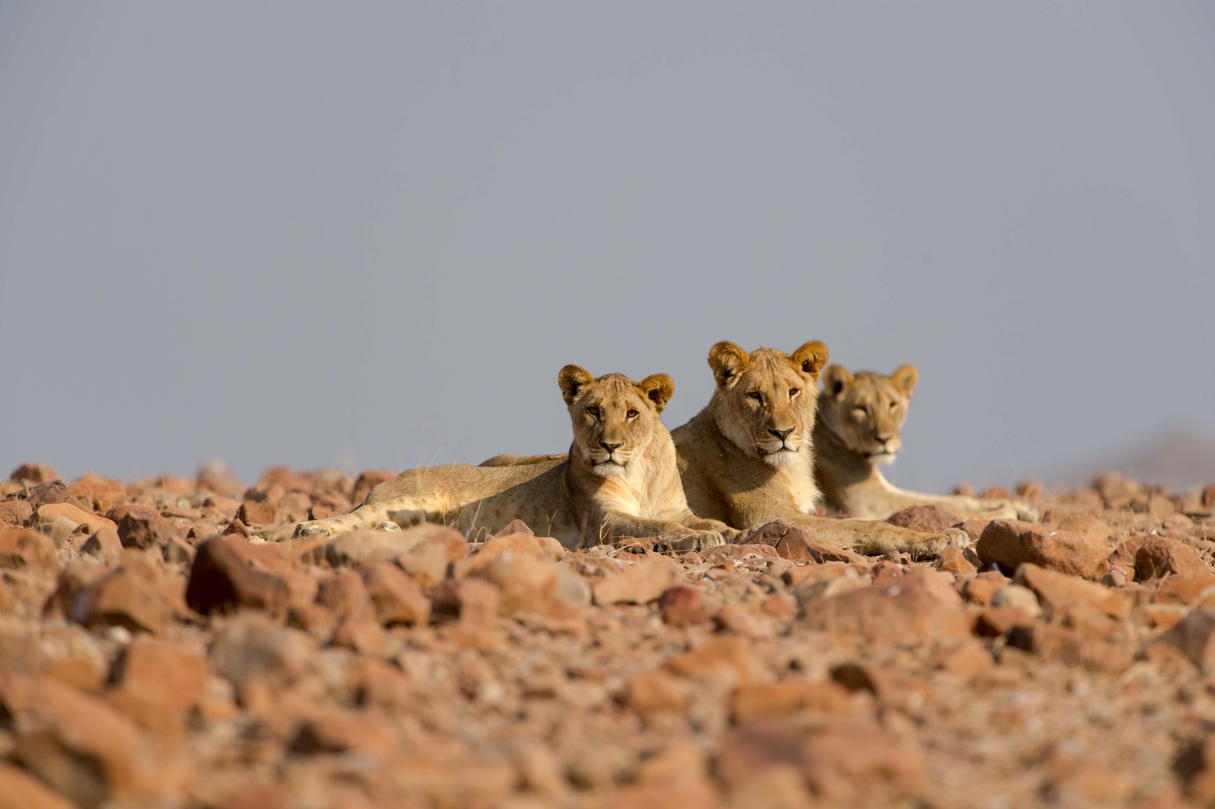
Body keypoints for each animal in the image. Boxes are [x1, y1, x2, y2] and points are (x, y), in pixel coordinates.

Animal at [259, 365, 736, 550]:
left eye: (632, 414)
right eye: (593, 411)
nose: (610, 446)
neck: (637, 473)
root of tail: (385, 483)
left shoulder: (676, 507)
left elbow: (702, 519)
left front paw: (726, 531)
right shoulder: (602, 522)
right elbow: (656, 525)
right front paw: (701, 539)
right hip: (411, 498)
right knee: (345, 519)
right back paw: (310, 529)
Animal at [669, 341, 969, 557]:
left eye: (793, 392)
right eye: (754, 395)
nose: (783, 433)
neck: (789, 465)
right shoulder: (771, 517)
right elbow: (865, 524)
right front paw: (938, 537)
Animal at [813, 363, 1037, 521]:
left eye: (892, 405)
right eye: (860, 408)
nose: (884, 439)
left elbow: (949, 499)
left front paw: (1020, 507)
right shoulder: (868, 500)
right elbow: (946, 506)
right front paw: (1004, 512)